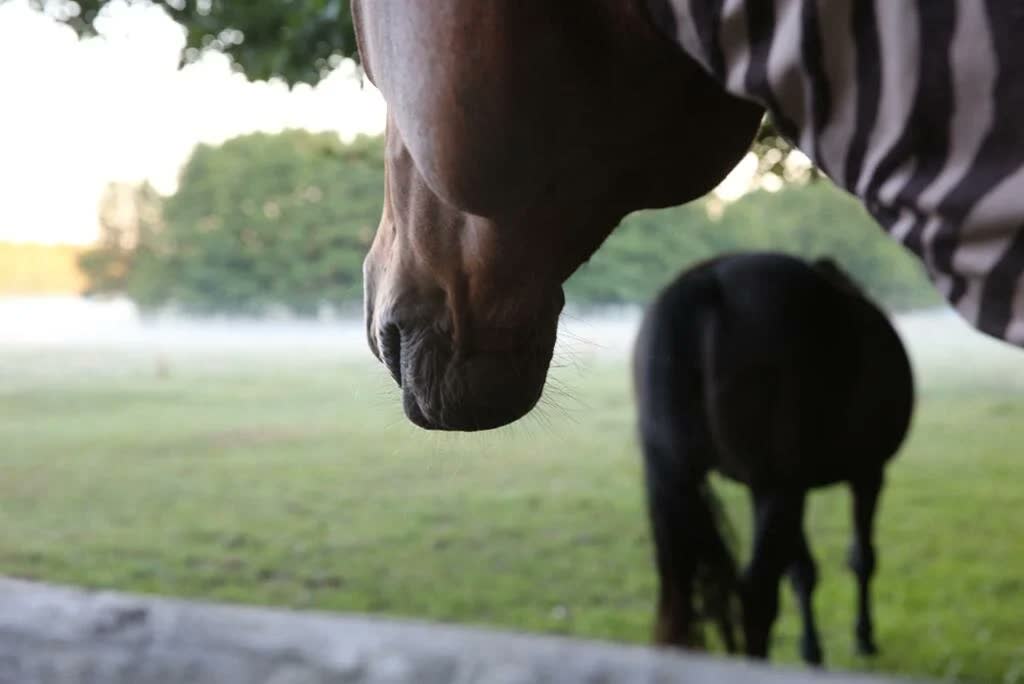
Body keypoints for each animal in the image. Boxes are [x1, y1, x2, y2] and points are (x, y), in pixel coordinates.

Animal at [632, 252, 915, 665]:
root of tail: (705, 282)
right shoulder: (866, 472)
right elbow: (861, 558)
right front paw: (863, 637)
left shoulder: (781, 485)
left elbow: (803, 571)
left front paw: (812, 650)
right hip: (783, 487)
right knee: (757, 593)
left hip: (711, 484)